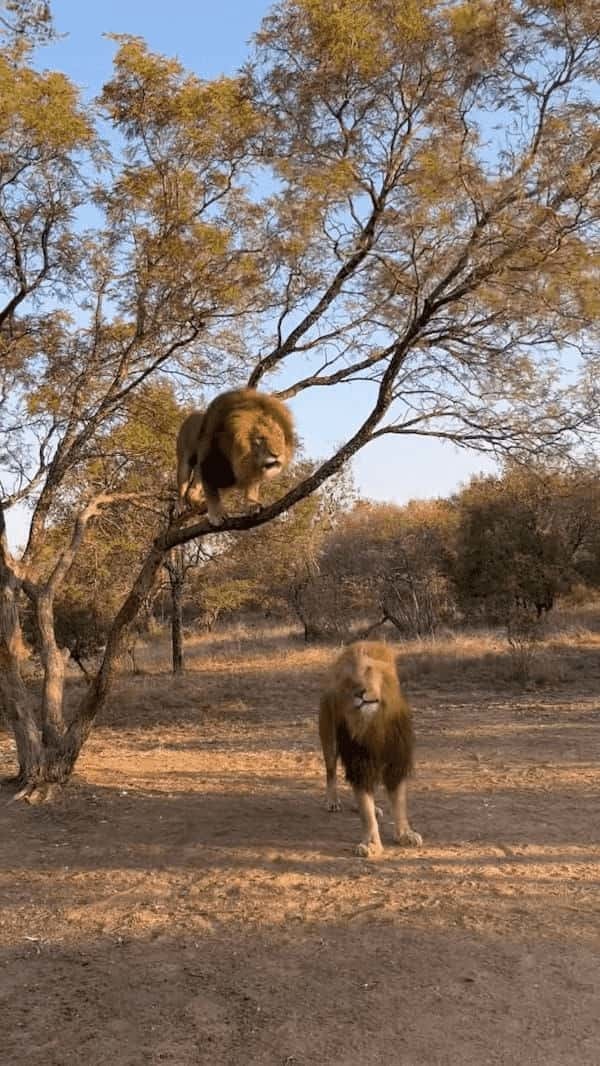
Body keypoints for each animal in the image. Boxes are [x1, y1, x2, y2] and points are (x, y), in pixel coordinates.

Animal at [319, 639, 422, 857]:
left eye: (368, 670)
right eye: (348, 681)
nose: (359, 692)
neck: (374, 724)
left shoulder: (396, 762)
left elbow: (399, 803)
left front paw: (405, 834)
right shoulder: (360, 764)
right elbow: (365, 810)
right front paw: (371, 844)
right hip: (329, 740)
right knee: (331, 772)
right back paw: (332, 801)